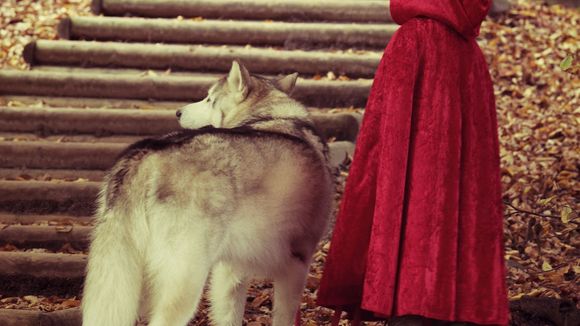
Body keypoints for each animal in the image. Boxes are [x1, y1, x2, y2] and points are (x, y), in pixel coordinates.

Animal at [82, 61, 336, 326]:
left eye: (209, 100)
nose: (178, 112)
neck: (275, 114)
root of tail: (145, 154)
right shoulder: (296, 265)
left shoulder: (232, 270)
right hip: (185, 282)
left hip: (126, 284)